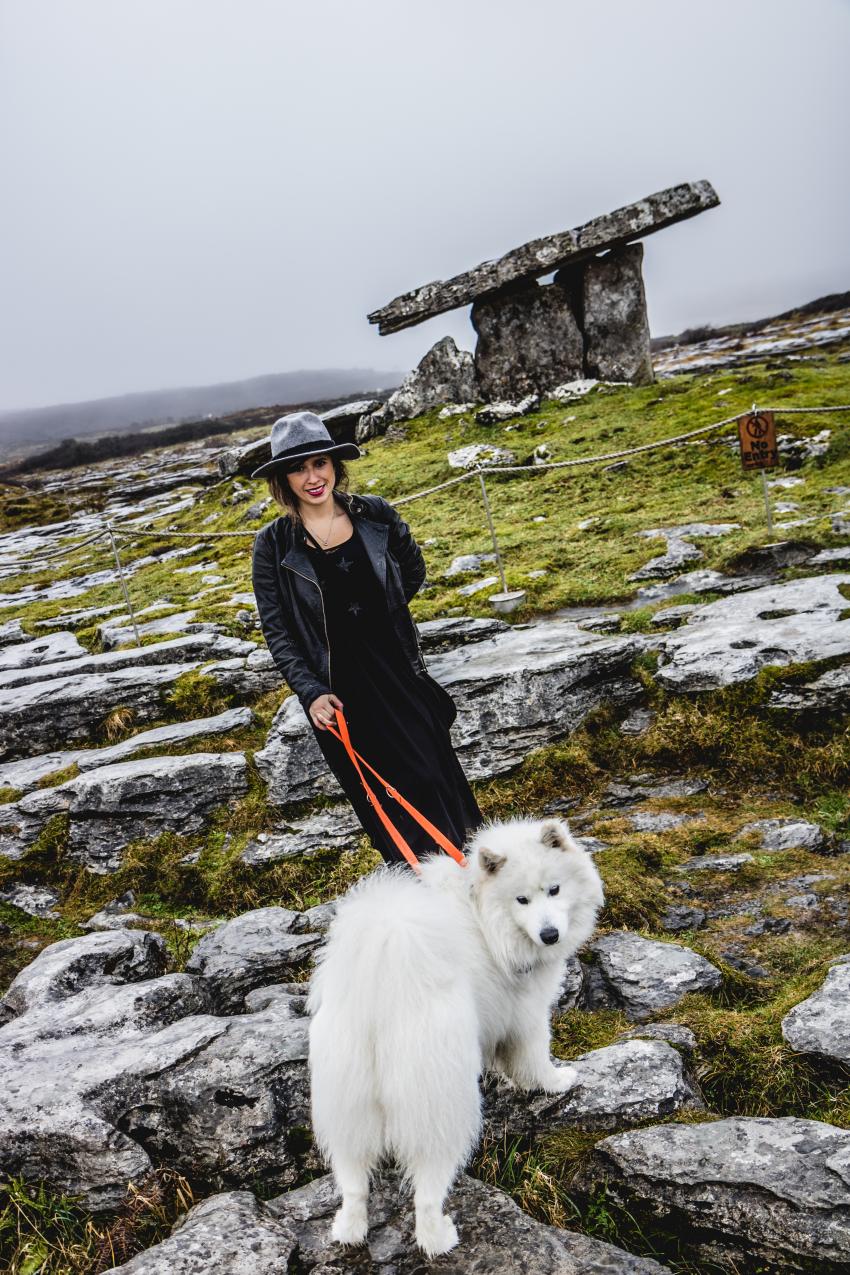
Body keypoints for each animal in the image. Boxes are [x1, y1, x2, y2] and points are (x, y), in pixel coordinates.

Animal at [309, 816, 609, 1254]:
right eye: (522, 900)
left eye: (555, 889)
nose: (550, 935)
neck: (483, 910)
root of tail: (380, 991)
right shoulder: (526, 1010)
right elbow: (534, 1055)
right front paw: (555, 1081)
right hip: (440, 1102)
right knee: (427, 1184)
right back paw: (438, 1239)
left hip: (348, 1102)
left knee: (353, 1180)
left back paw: (349, 1229)